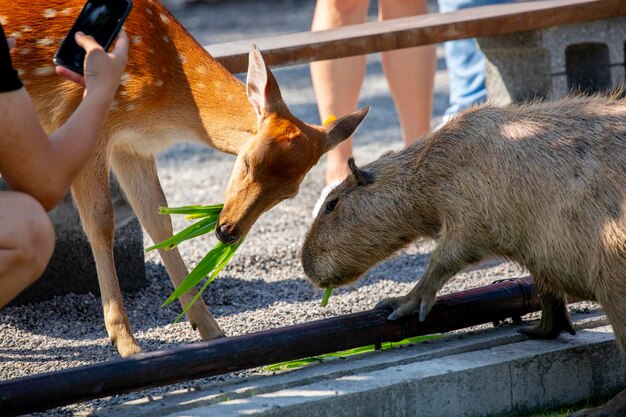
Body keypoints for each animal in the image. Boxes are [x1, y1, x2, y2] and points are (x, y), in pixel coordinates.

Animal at [4, 0, 366, 358]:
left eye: (289, 193)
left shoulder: (132, 145)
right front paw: (125, 342)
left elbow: (159, 222)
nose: (227, 232)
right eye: (247, 161)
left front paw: (211, 329)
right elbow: (100, 222)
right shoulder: (77, 116)